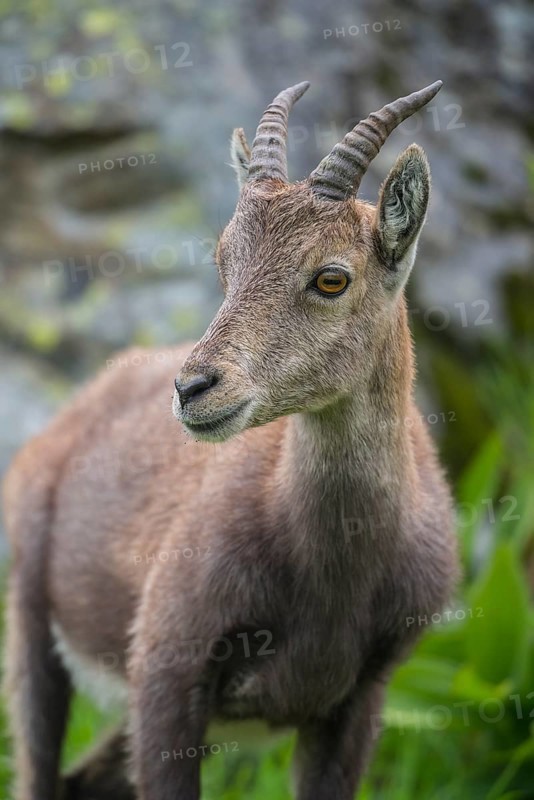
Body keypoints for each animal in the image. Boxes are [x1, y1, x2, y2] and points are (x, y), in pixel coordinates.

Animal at [3, 81, 458, 800]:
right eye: (225, 261)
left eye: (332, 277)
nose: (193, 387)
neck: (333, 565)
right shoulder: (166, 669)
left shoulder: (358, 700)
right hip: (29, 625)